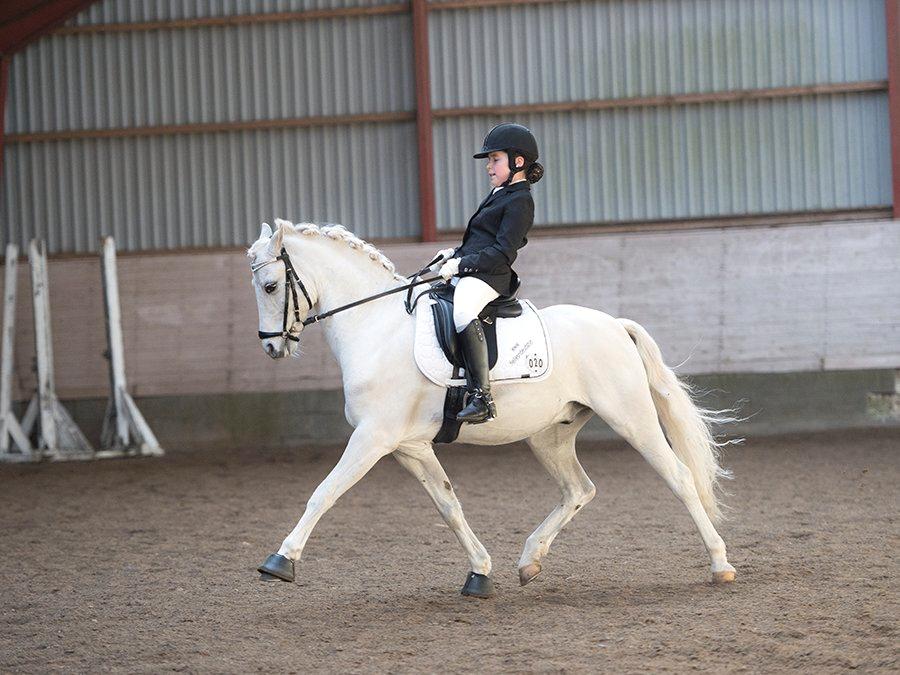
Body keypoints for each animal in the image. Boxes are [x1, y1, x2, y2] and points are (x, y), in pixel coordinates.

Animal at [247, 219, 737, 597]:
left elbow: (324, 492)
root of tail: (615, 325)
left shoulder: (373, 437)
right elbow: (449, 506)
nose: (271, 347)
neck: (377, 327)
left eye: (270, 286)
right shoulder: (410, 446)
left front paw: (280, 561)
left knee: (679, 478)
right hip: (549, 435)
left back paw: (720, 565)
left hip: (632, 417)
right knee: (578, 489)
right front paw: (480, 574)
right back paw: (530, 561)